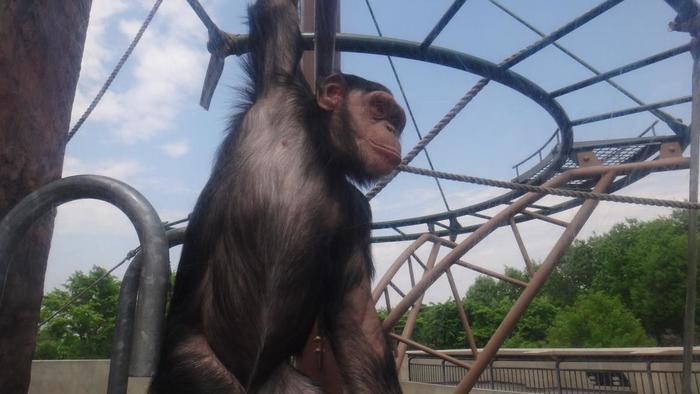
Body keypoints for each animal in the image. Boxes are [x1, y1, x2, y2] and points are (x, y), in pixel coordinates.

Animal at [150, 0, 408, 390]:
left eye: (397, 119)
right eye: (379, 108)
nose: (392, 128)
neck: (320, 151)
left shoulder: (358, 214)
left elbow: (355, 318)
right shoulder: (279, 81)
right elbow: (276, 15)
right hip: (189, 363)